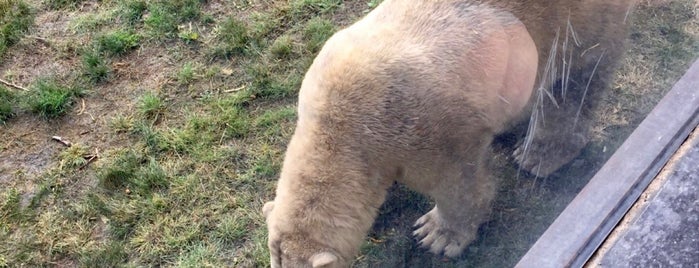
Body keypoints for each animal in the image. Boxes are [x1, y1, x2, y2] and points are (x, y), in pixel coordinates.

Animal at [266, 0, 632, 266]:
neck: (337, 125)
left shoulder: (425, 133)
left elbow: (459, 184)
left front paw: (437, 236)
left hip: (574, 21)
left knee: (575, 76)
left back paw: (539, 154)